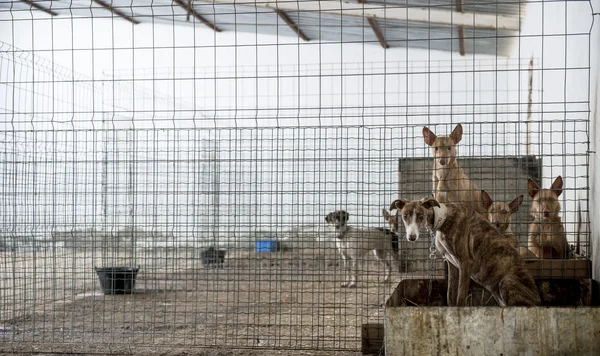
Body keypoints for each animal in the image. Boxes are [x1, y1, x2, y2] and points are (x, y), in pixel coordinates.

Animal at [390, 197, 540, 306]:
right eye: (405, 216)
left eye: (421, 216)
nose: (411, 237)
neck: (444, 218)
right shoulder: (452, 265)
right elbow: (450, 295)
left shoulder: (465, 262)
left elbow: (461, 297)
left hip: (506, 282)